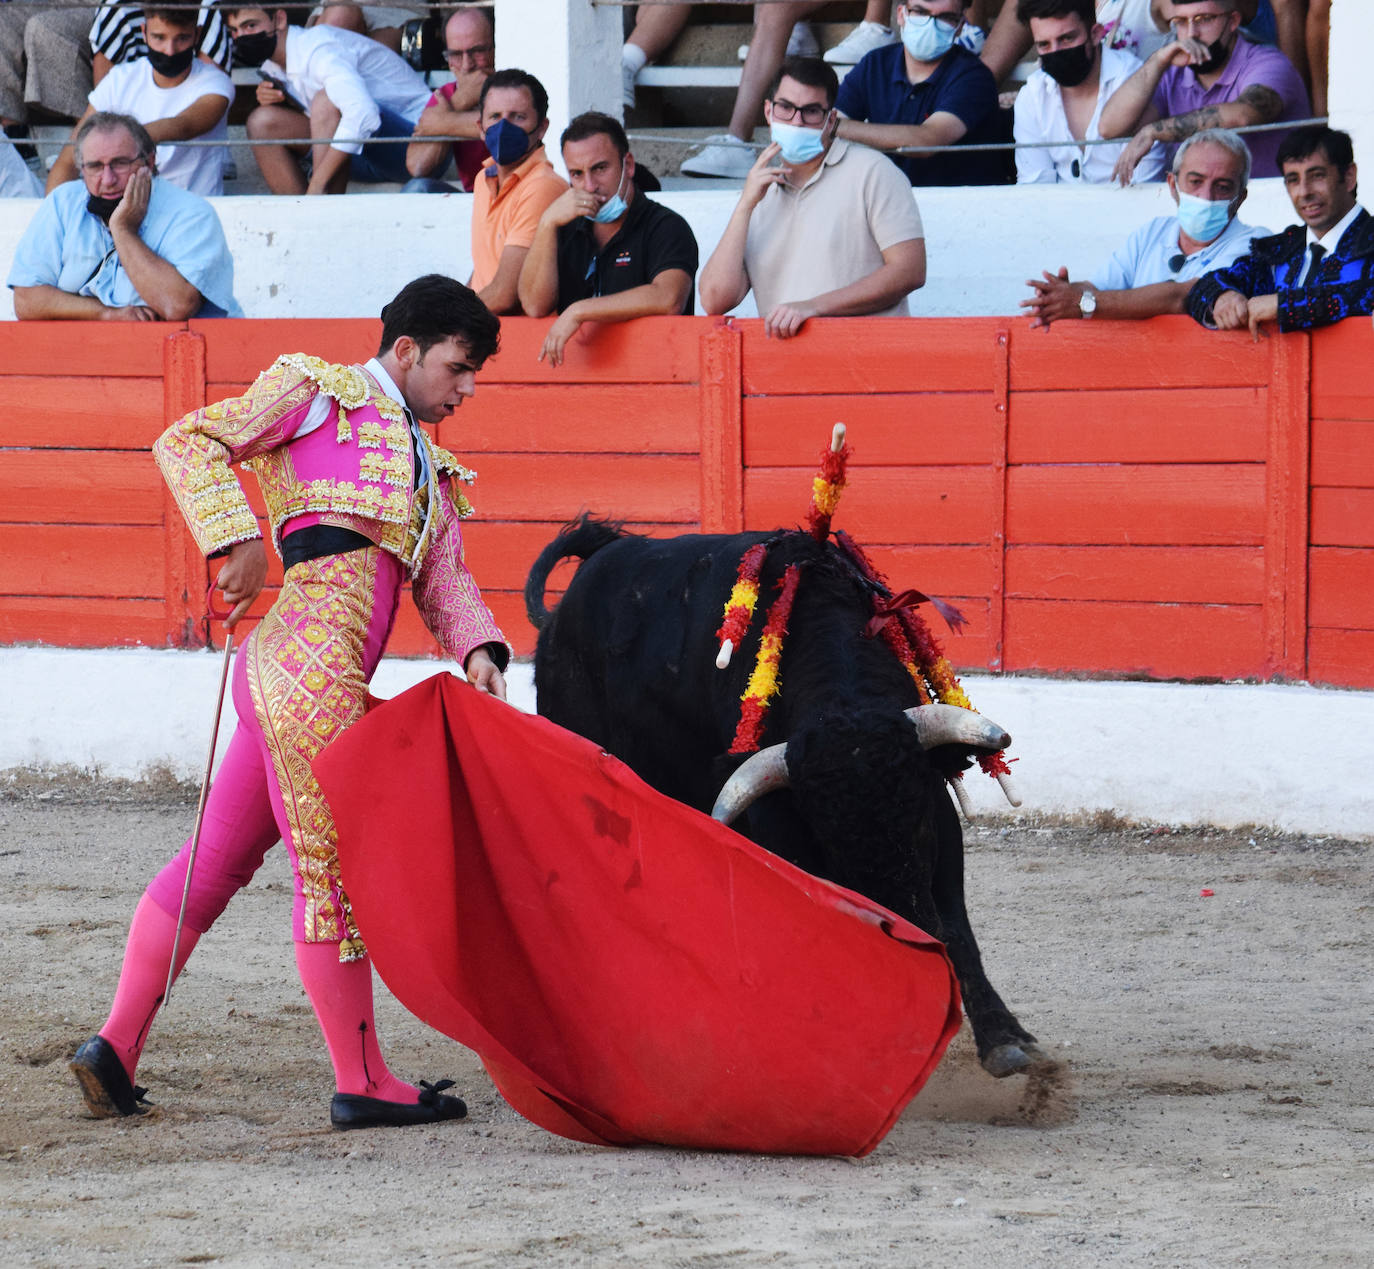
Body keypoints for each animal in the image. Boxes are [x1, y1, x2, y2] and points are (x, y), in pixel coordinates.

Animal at [524, 516, 1038, 1082]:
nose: (916, 948)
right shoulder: (779, 826)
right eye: (829, 846)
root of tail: (559, 615)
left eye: (918, 821)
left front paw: (1004, 1038)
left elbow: (957, 923)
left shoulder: (939, 815)